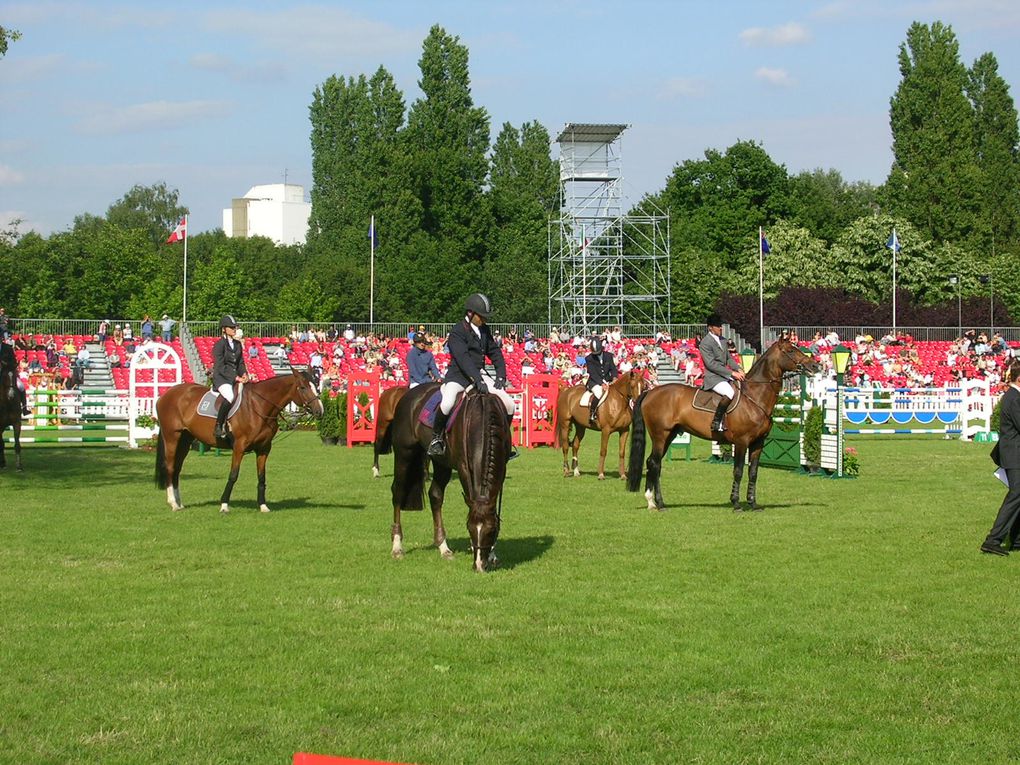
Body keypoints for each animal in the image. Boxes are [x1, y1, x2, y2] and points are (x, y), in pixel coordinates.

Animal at [154, 371, 322, 516]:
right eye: (303, 387)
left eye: (316, 385)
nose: (320, 411)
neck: (258, 406)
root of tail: (166, 394)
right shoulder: (239, 448)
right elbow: (233, 475)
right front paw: (224, 506)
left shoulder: (264, 449)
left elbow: (262, 477)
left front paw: (263, 506)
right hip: (172, 437)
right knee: (170, 467)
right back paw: (173, 503)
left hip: (185, 440)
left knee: (177, 469)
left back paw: (179, 503)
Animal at [385, 385, 510, 571]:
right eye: (469, 528)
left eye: (490, 530)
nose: (479, 566)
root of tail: (409, 394)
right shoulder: (464, 468)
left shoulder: (502, 468)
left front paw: (492, 554)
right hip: (404, 454)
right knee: (398, 492)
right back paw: (397, 546)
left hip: (441, 463)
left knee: (435, 496)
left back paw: (443, 548)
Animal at [620, 338, 820, 512]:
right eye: (791, 350)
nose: (815, 366)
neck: (754, 397)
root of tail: (650, 392)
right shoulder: (741, 442)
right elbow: (738, 471)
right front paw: (736, 503)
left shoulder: (758, 443)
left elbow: (753, 472)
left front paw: (753, 504)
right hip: (660, 436)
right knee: (655, 464)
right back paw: (658, 503)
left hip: (669, 436)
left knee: (653, 463)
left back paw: (652, 502)